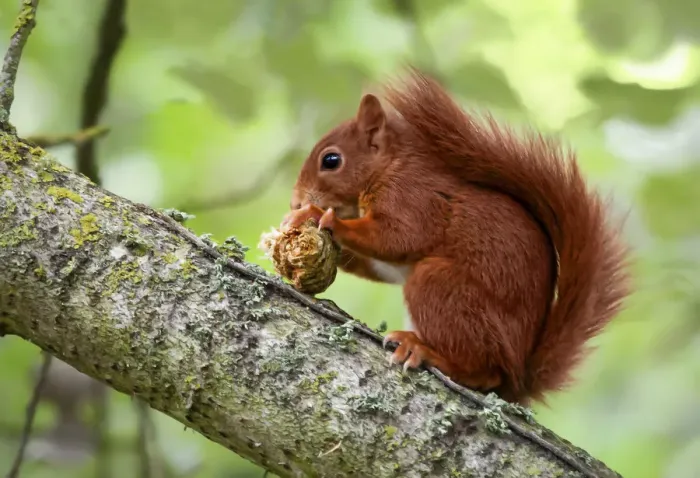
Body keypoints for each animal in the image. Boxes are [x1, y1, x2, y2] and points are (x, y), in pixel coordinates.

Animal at [282, 68, 630, 405]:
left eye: (331, 160)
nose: (295, 201)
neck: (390, 167)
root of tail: (518, 378)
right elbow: (381, 262)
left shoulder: (416, 199)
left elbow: (398, 238)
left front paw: (320, 216)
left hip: (441, 287)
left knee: (483, 372)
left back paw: (425, 351)